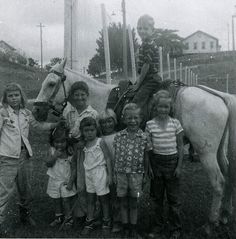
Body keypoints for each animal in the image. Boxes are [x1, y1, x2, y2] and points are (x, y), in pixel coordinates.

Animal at [33, 59, 236, 232]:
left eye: (51, 83)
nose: (36, 110)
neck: (102, 99)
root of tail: (219, 97)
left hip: (206, 152)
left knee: (219, 182)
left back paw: (211, 222)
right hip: (218, 151)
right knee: (229, 174)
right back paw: (225, 214)